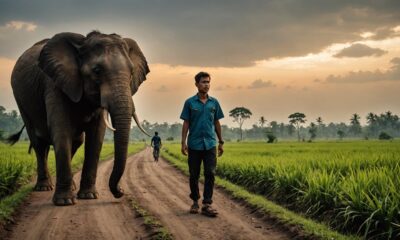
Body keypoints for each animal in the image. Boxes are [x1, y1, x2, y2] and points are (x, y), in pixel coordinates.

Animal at [8, 30, 151, 206]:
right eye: (97, 70)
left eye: (131, 72)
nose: (120, 191)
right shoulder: (54, 84)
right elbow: (61, 132)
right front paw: (64, 202)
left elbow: (96, 137)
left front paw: (88, 196)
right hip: (22, 101)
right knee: (38, 143)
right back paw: (44, 187)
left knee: (75, 142)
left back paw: (70, 186)